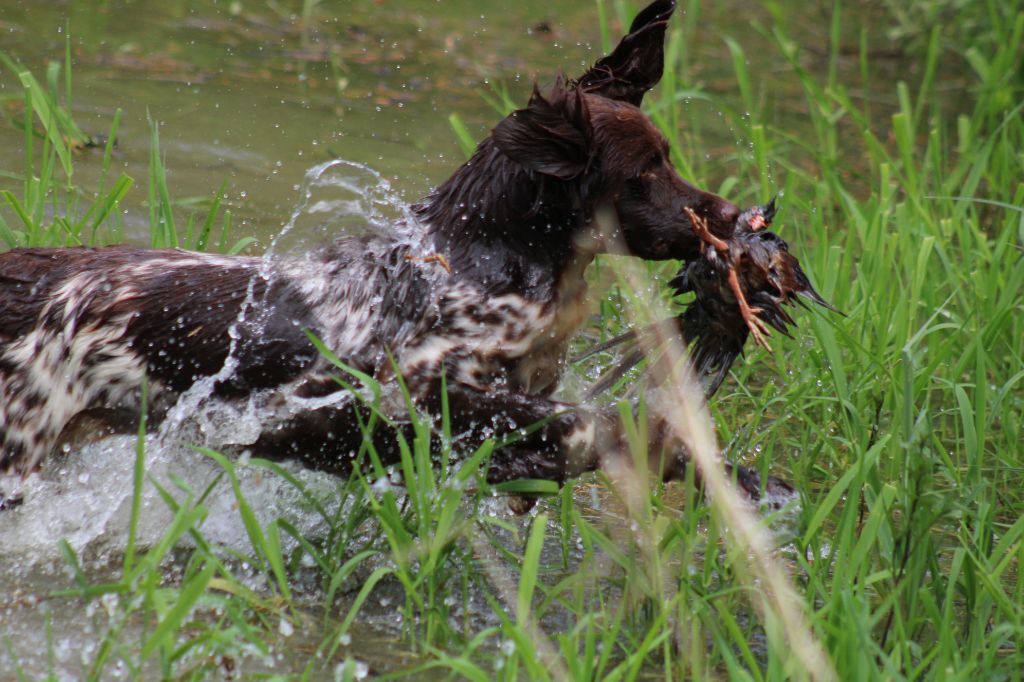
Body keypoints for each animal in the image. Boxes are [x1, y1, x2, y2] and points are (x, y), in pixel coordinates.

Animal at [0, 1, 782, 503]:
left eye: (668, 156)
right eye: (643, 173)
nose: (733, 218)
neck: (482, 261)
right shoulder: (417, 384)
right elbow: (574, 420)